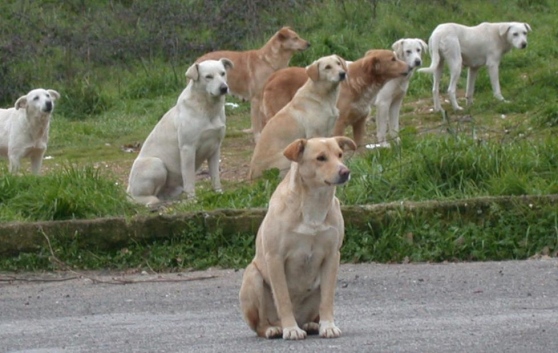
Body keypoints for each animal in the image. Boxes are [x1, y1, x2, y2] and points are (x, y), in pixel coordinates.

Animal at [128, 58, 233, 206]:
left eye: (223, 73)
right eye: (208, 77)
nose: (224, 88)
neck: (207, 108)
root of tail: (128, 189)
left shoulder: (215, 148)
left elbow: (215, 176)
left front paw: (219, 193)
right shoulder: (187, 149)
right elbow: (189, 178)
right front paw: (193, 200)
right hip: (156, 164)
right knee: (139, 197)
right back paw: (152, 201)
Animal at [238, 135, 356, 338]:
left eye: (340, 154)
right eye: (321, 158)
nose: (345, 171)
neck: (314, 203)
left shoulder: (332, 256)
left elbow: (327, 299)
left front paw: (328, 326)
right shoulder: (275, 258)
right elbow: (283, 298)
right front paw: (291, 329)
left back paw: (311, 324)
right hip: (253, 276)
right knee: (260, 324)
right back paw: (274, 328)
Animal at [262, 49, 412, 146]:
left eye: (396, 57)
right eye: (393, 60)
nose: (411, 67)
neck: (356, 82)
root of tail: (272, 76)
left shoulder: (360, 121)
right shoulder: (338, 124)